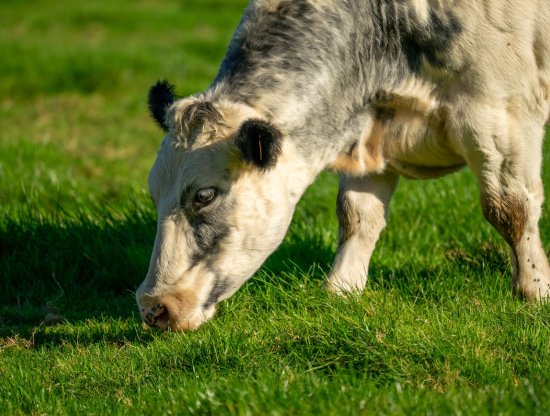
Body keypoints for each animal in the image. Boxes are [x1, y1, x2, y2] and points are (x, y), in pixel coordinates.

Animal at [136, 0, 550, 332]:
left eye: (205, 196)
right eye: (154, 194)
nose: (154, 307)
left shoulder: (501, 114)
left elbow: (509, 209)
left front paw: (535, 289)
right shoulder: (371, 138)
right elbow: (357, 216)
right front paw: (341, 289)